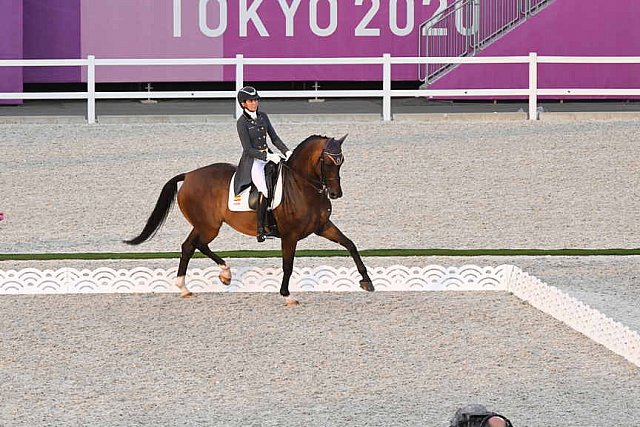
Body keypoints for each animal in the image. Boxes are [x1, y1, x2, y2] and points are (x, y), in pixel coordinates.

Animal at [124, 134, 372, 304]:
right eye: (327, 162)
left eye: (342, 161)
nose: (336, 193)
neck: (303, 186)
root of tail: (189, 175)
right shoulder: (289, 235)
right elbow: (288, 264)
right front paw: (286, 296)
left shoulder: (322, 226)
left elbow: (350, 244)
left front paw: (367, 281)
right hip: (209, 226)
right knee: (195, 245)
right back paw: (210, 278)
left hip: (205, 225)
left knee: (191, 246)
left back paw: (201, 282)